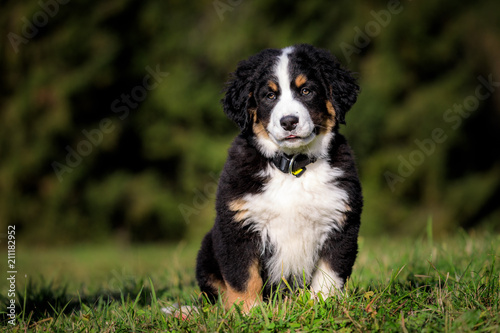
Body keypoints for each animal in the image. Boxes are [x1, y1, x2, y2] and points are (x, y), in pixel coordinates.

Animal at [196, 43, 364, 312]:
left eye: (306, 91)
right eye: (269, 96)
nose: (289, 122)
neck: (293, 168)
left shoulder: (341, 223)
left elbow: (329, 273)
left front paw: (323, 305)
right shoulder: (238, 228)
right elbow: (243, 277)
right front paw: (247, 312)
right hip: (206, 252)